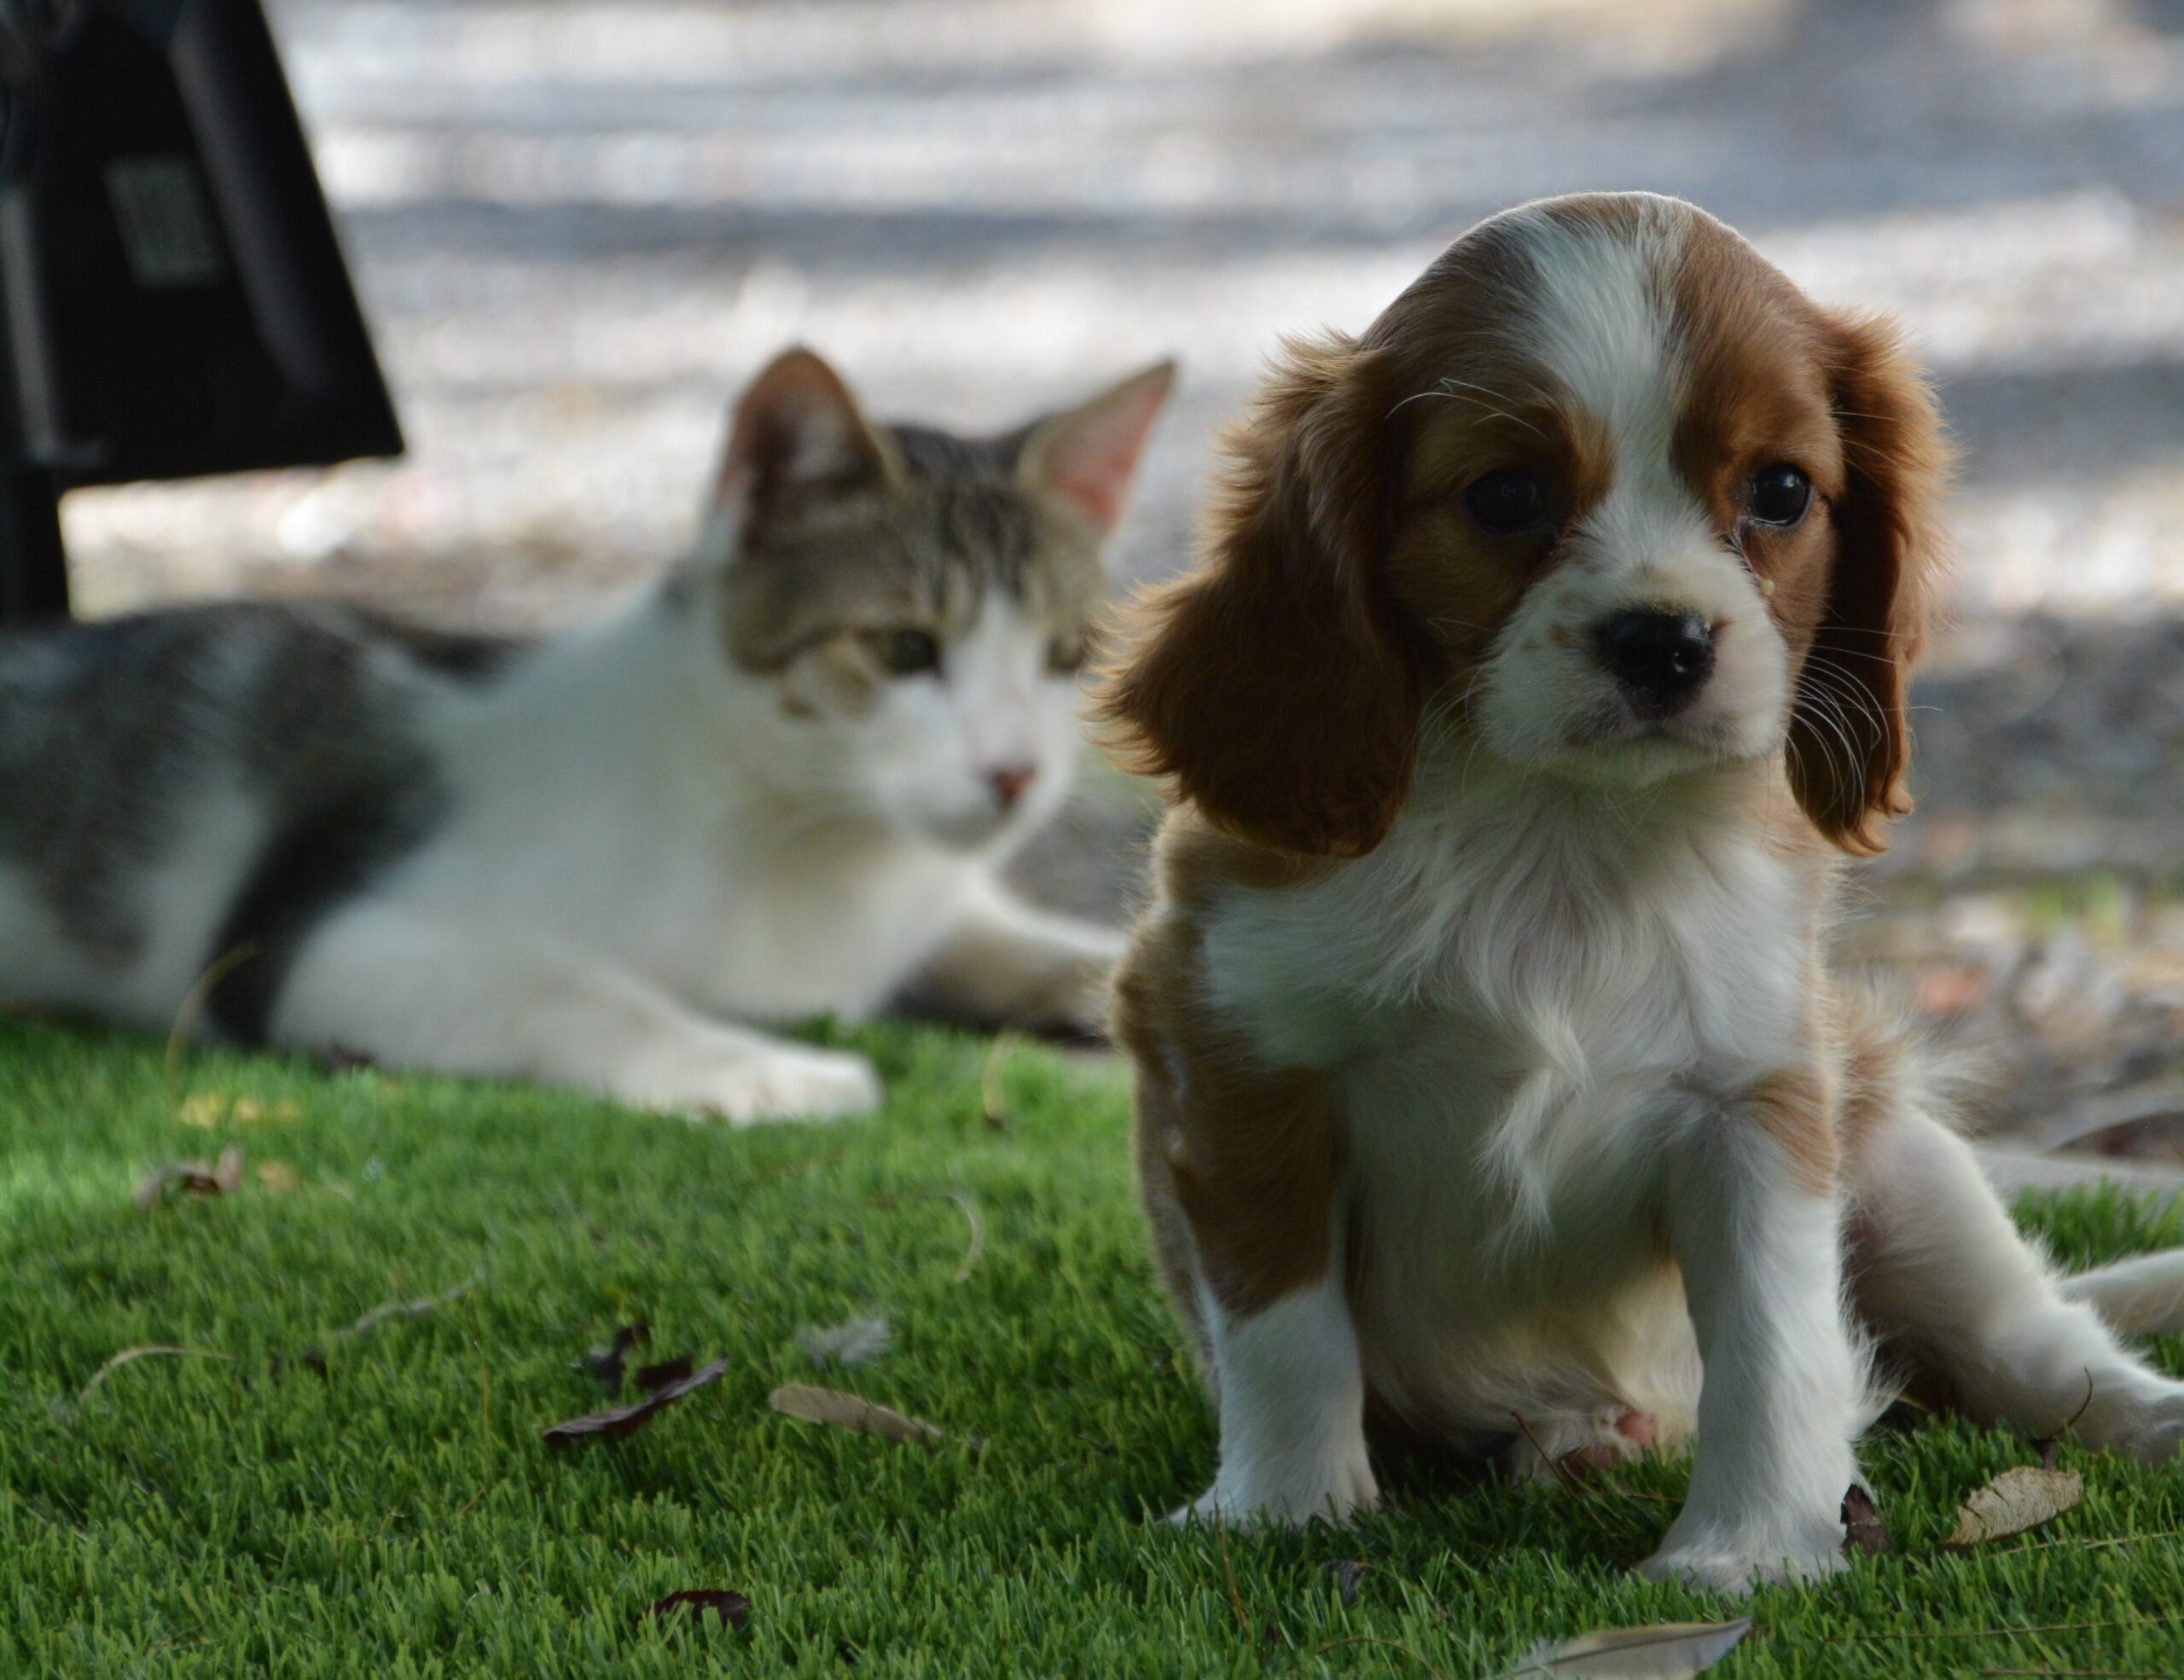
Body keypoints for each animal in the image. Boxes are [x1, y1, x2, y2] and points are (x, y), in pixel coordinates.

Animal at [4, 347, 1179, 1118]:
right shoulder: (306, 942)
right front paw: (764, 1069)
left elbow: (1059, 947)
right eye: (903, 648)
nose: (1016, 772)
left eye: (1068, 654)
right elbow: (575, 989)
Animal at [1101, 193, 2184, 1590]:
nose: (1664, 640)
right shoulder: (1247, 1075)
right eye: (1506, 495)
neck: (1559, 830)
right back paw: (1568, 1435)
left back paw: (2146, 1415)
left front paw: (1747, 1551)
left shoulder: (1759, 1101)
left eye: (1781, 490)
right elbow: (1286, 1329)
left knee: (2030, 1349)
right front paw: (1286, 1511)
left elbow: (1775, 1343)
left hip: (1902, 1156)